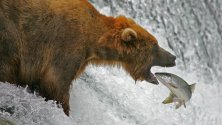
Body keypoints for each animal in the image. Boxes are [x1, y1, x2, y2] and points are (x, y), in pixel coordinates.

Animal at [0, 0, 177, 115]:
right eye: (155, 46)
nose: (173, 57)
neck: (94, 42)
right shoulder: (67, 43)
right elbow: (54, 81)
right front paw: (64, 111)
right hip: (10, 33)